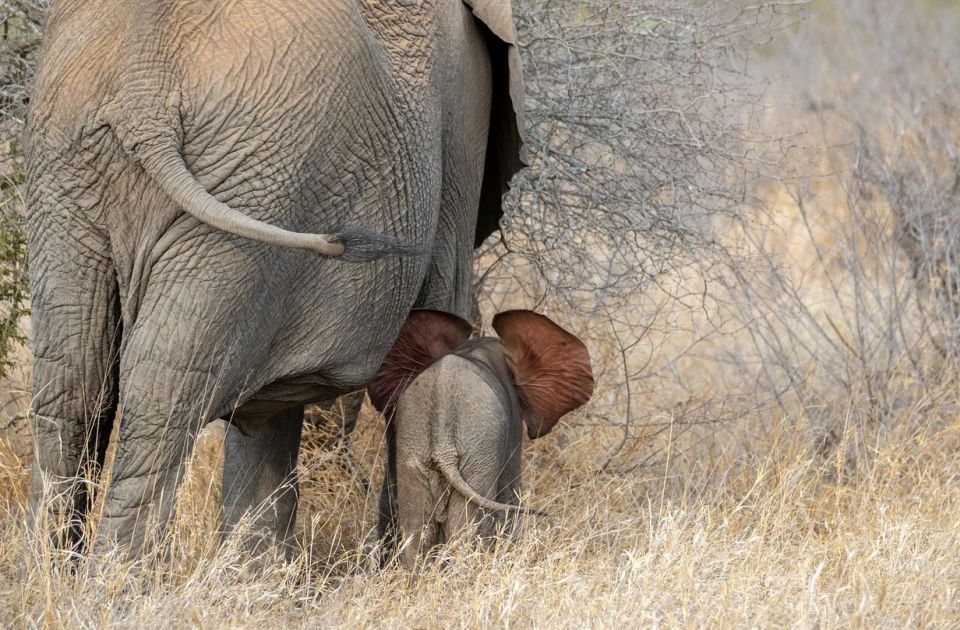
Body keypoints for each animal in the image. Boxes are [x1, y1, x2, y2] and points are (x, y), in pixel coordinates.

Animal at [28, 1, 524, 564]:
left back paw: (57, 576)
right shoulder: (465, 106)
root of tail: (143, 88)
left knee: (72, 385)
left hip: (79, 168)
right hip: (256, 177)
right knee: (160, 401)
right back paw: (116, 580)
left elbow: (266, 411)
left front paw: (254, 571)